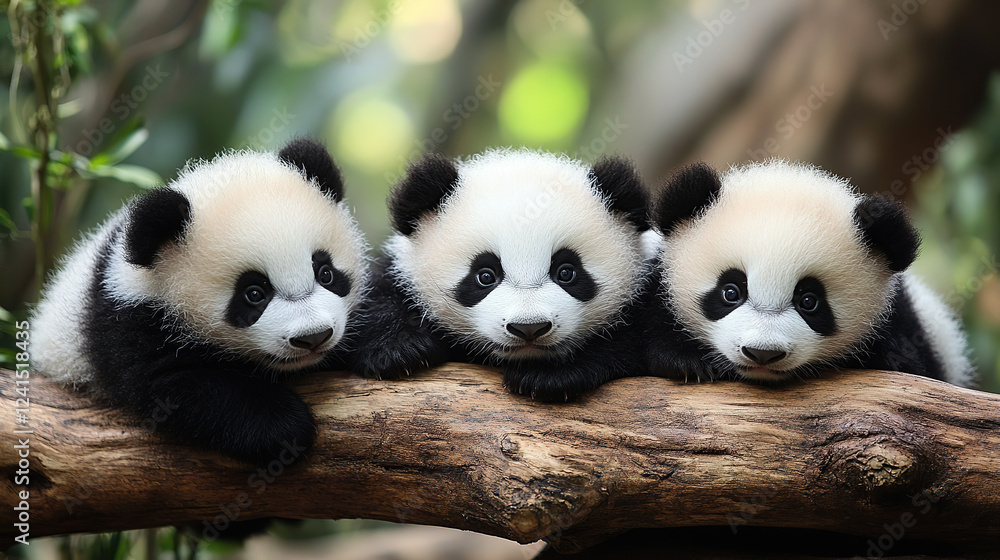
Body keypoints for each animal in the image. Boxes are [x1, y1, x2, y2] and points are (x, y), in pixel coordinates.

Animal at [30, 139, 369, 466]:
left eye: (325, 273)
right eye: (253, 294)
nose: (313, 337)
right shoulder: (128, 318)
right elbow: (175, 385)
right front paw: (287, 427)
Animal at [348, 148, 652, 401]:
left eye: (566, 272)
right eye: (485, 276)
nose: (529, 328)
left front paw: (549, 377)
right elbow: (377, 299)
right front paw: (401, 351)